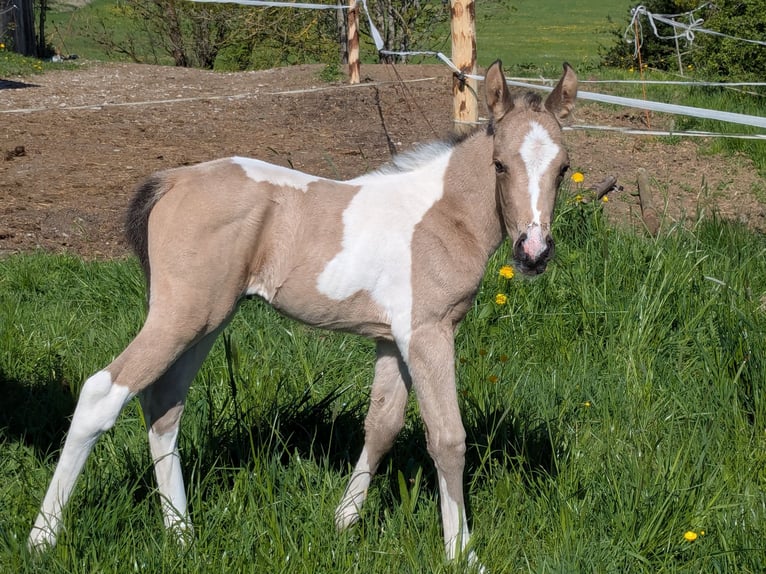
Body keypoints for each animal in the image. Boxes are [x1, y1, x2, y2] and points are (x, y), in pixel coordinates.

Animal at [29, 60, 577, 564]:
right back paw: (42, 539)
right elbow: (448, 438)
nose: (533, 252)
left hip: (206, 323)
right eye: (500, 165)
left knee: (164, 405)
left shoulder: (390, 338)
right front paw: (462, 553)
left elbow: (382, 424)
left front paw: (343, 521)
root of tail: (173, 180)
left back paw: (182, 534)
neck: (443, 216)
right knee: (101, 394)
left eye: (563, 169)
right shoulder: (428, 333)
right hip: (180, 317)